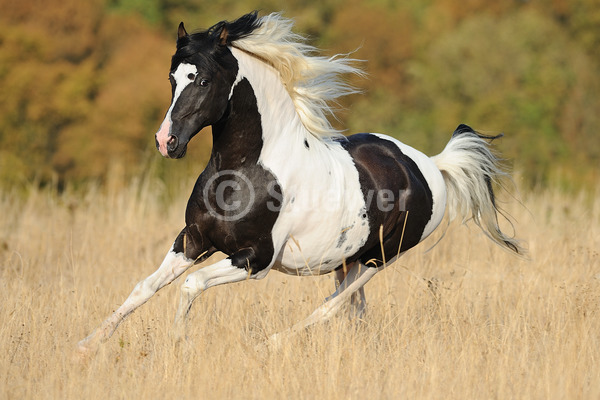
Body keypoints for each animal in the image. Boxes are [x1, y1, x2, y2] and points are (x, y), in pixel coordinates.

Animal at [77, 10, 524, 352]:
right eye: (172, 79)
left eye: (203, 80)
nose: (166, 142)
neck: (244, 173)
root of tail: (431, 164)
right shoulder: (192, 240)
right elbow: (144, 287)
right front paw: (87, 344)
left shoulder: (254, 260)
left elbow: (190, 285)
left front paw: (179, 346)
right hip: (349, 259)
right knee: (353, 310)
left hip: (380, 258)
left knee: (331, 306)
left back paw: (268, 344)